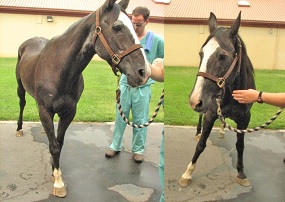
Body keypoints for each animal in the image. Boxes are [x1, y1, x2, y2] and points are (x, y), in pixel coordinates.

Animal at [14, 0, 150, 196]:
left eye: (135, 26)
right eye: (117, 27)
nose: (144, 72)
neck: (60, 69)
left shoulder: (69, 112)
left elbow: (59, 143)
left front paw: (55, 170)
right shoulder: (46, 111)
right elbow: (54, 145)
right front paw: (58, 184)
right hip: (20, 87)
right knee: (22, 103)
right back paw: (19, 128)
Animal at [178, 11, 255, 188]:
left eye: (222, 56)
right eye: (201, 54)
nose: (195, 100)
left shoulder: (245, 119)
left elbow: (240, 146)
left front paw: (241, 173)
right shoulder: (210, 114)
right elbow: (201, 145)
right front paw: (187, 174)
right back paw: (198, 132)